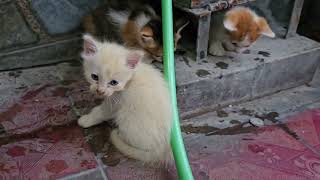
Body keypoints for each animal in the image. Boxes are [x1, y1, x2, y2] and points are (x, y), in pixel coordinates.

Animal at [77, 34, 172, 165]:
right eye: (94, 77)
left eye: (113, 82)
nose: (100, 91)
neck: (130, 79)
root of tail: (163, 147)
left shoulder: (115, 104)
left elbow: (100, 112)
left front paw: (86, 120)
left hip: (125, 117)